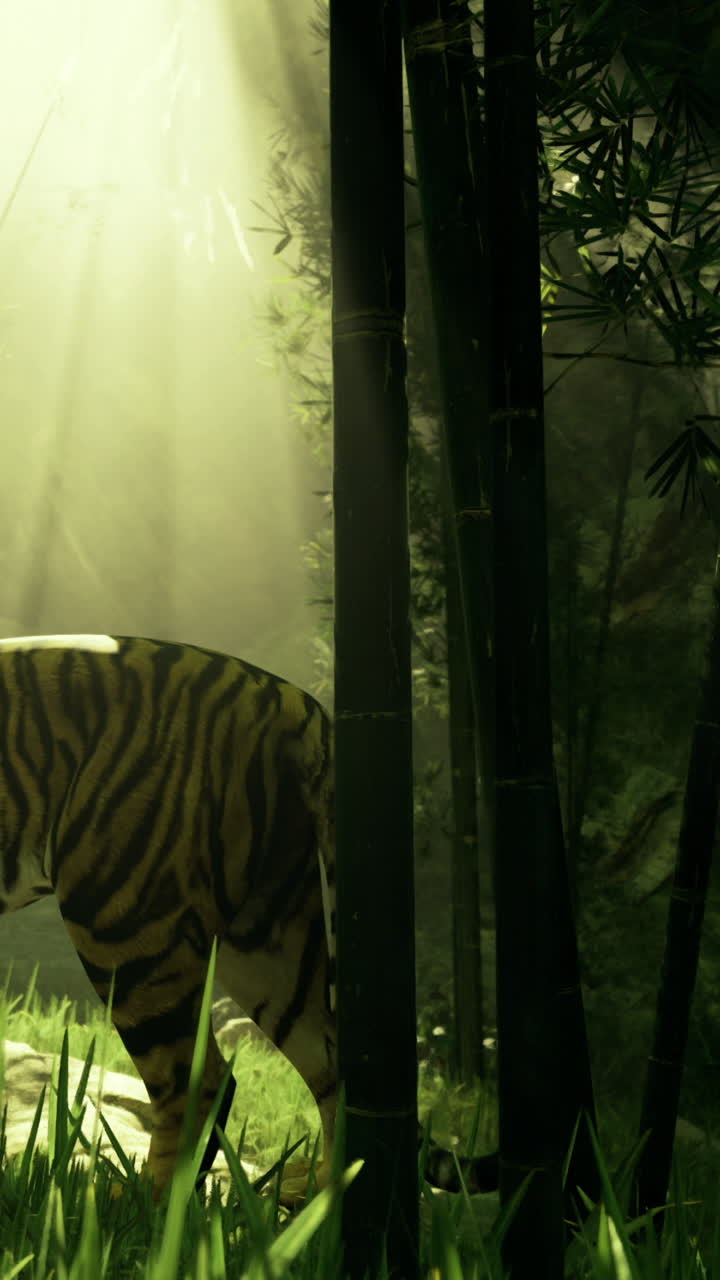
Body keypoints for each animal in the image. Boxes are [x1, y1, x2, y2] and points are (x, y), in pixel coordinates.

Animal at [0, 635, 498, 1204]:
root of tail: (294, 701)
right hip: (272, 943)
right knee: (331, 1069)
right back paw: (312, 1196)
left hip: (121, 916)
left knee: (200, 1082)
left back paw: (138, 1206)